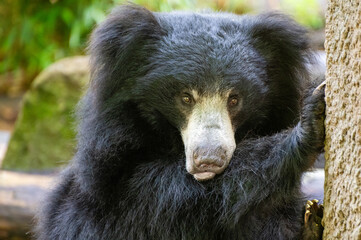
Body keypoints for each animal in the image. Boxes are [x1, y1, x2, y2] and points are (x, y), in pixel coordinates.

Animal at [35, 4, 324, 240]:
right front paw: (309, 125)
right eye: (186, 97)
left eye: (234, 99)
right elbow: (156, 195)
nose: (209, 159)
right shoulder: (111, 169)